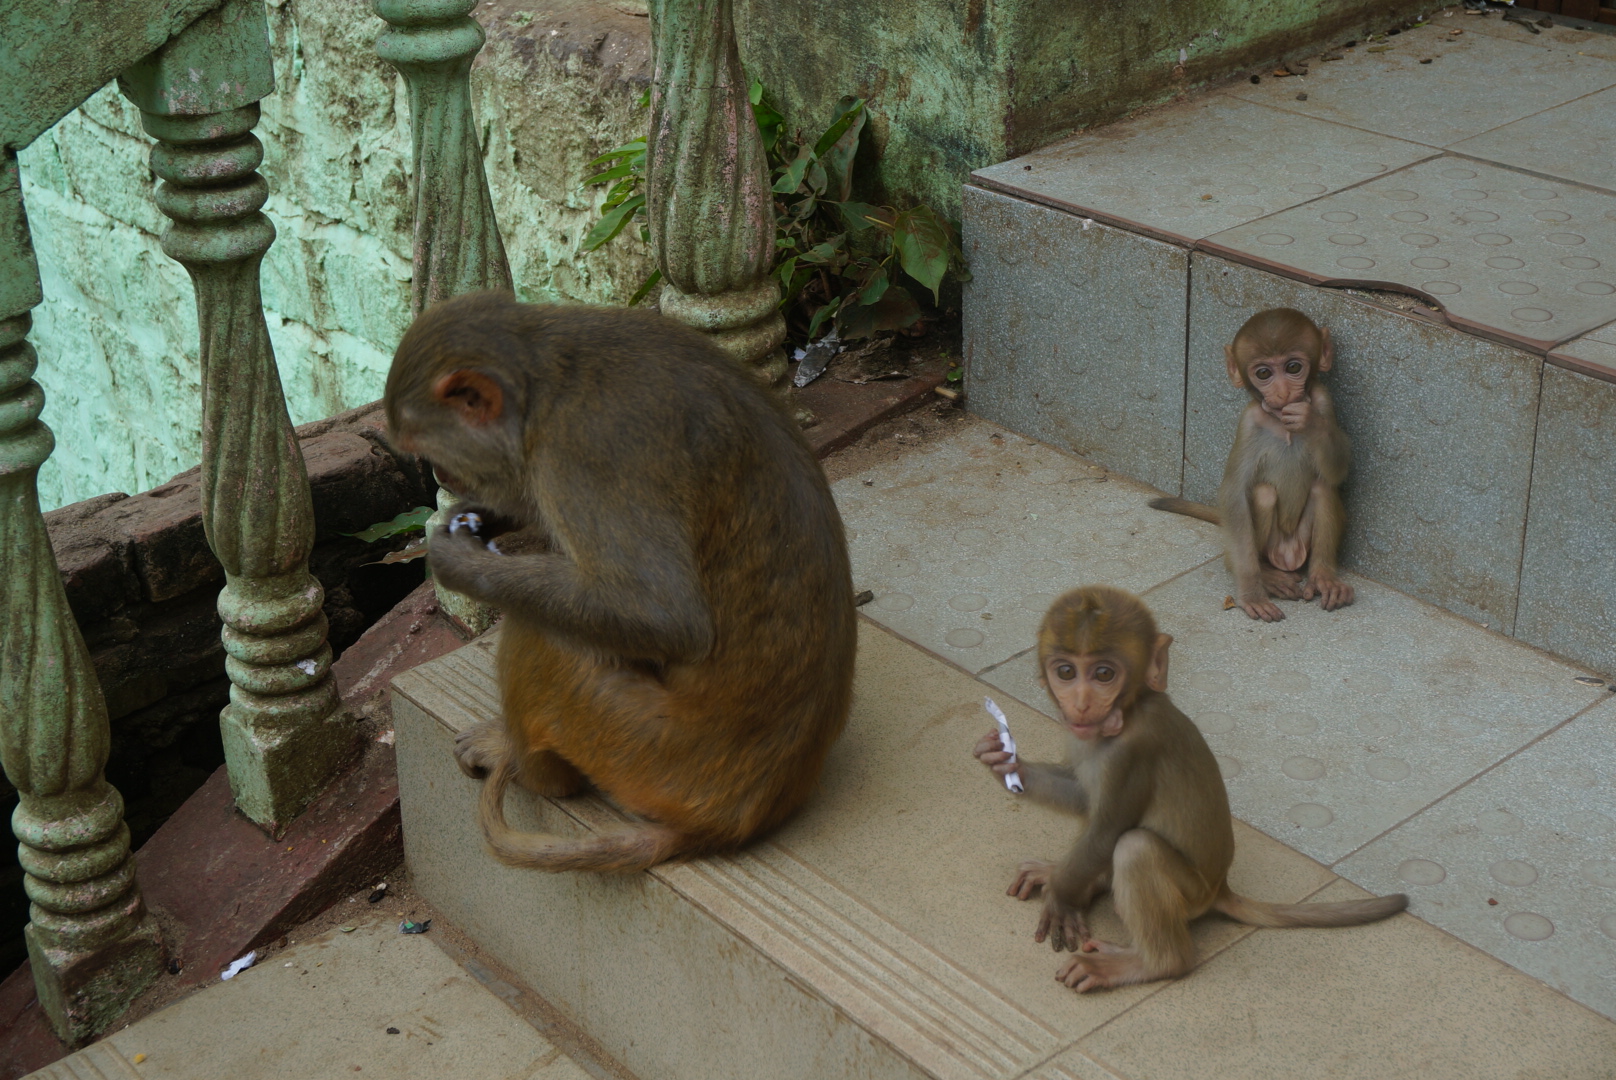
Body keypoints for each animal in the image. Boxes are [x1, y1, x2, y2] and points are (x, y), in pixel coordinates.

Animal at [386, 291, 859, 873]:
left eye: (429, 449)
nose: (445, 479)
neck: (547, 387)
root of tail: (733, 820)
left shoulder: (584, 452)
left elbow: (665, 617)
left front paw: (457, 562)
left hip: (643, 748)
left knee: (538, 630)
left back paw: (534, 771)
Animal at [969, 585, 1402, 989]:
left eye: (1104, 674)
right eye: (1066, 673)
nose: (1081, 703)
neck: (1128, 713)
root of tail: (1220, 888)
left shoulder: (1133, 752)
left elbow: (1107, 831)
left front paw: (1061, 900)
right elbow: (1083, 798)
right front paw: (1003, 762)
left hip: (1190, 893)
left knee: (1135, 847)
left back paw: (1154, 963)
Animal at [1150, 307, 1350, 620]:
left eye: (1293, 368)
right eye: (1264, 373)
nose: (1283, 393)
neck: (1280, 422)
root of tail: (1288, 556)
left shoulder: (1323, 399)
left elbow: (1338, 471)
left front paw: (1311, 423)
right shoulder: (1249, 423)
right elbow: (1234, 495)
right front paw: (1251, 591)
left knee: (1322, 486)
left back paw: (1323, 575)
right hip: (1268, 547)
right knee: (1264, 494)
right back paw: (1266, 575)